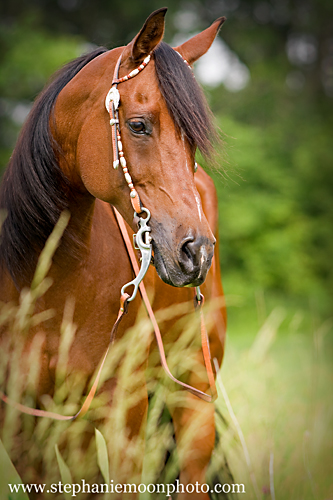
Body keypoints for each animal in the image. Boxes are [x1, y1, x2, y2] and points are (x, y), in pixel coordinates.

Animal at [0, 8, 226, 500]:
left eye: (193, 138)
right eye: (138, 125)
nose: (196, 251)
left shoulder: (124, 416)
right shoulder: (26, 429)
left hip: (194, 394)